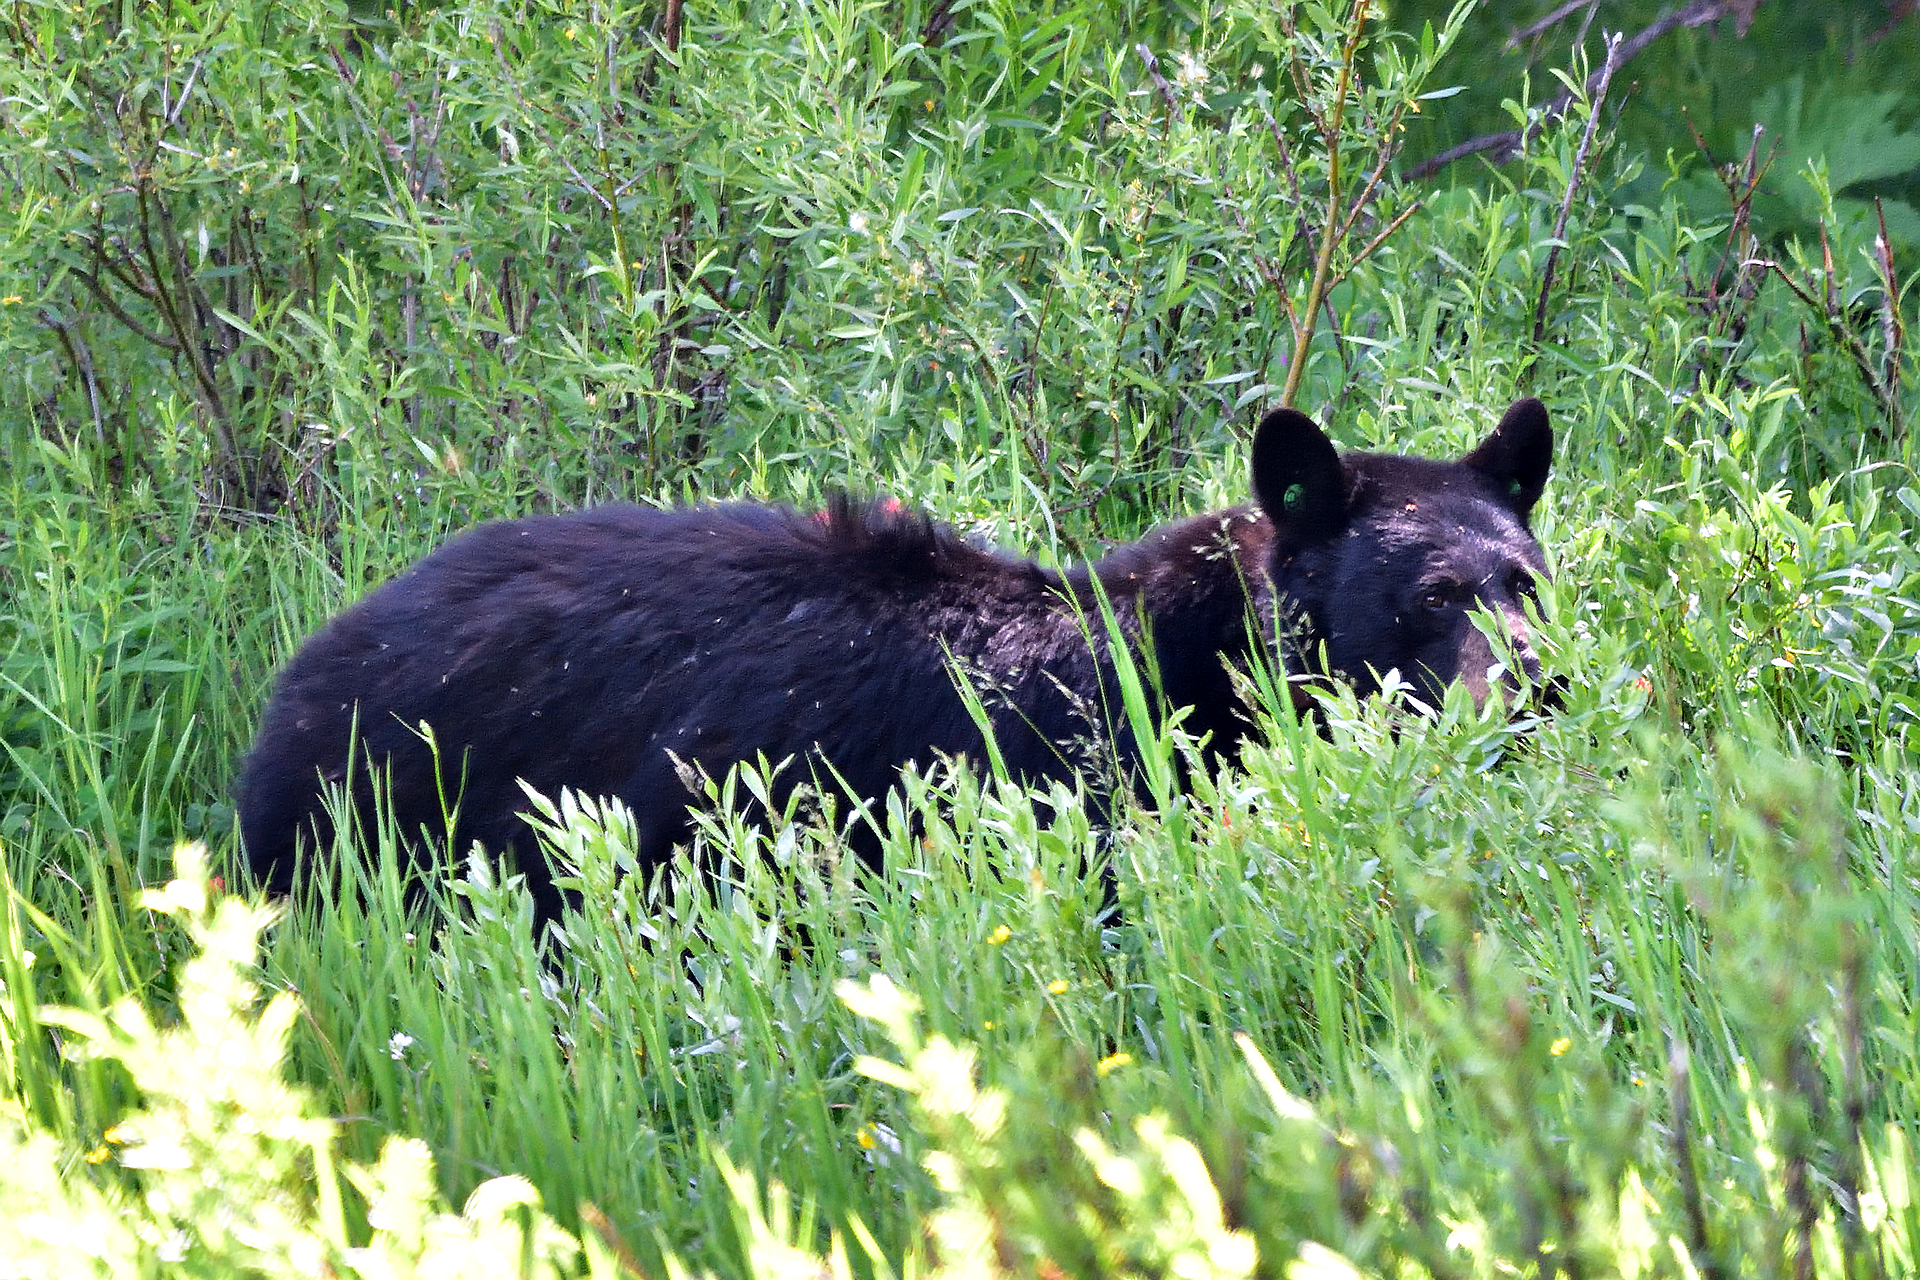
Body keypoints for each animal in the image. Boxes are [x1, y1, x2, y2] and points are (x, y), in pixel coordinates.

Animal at [237, 398, 1553, 925]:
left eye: (1527, 579)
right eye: (1433, 597)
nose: (1539, 684)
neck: (1188, 661)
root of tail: (304, 666)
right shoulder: (1077, 784)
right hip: (400, 814)